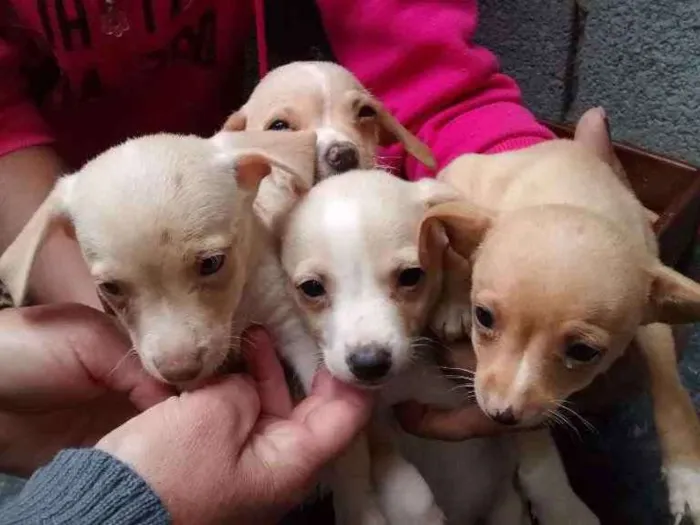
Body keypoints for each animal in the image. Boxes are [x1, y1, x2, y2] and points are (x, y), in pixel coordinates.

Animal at [422, 107, 700, 524]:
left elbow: (671, 388)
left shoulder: (652, 319)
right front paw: (558, 500)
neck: (572, 194)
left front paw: (688, 476)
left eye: (583, 352)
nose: (501, 415)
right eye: (483, 317)